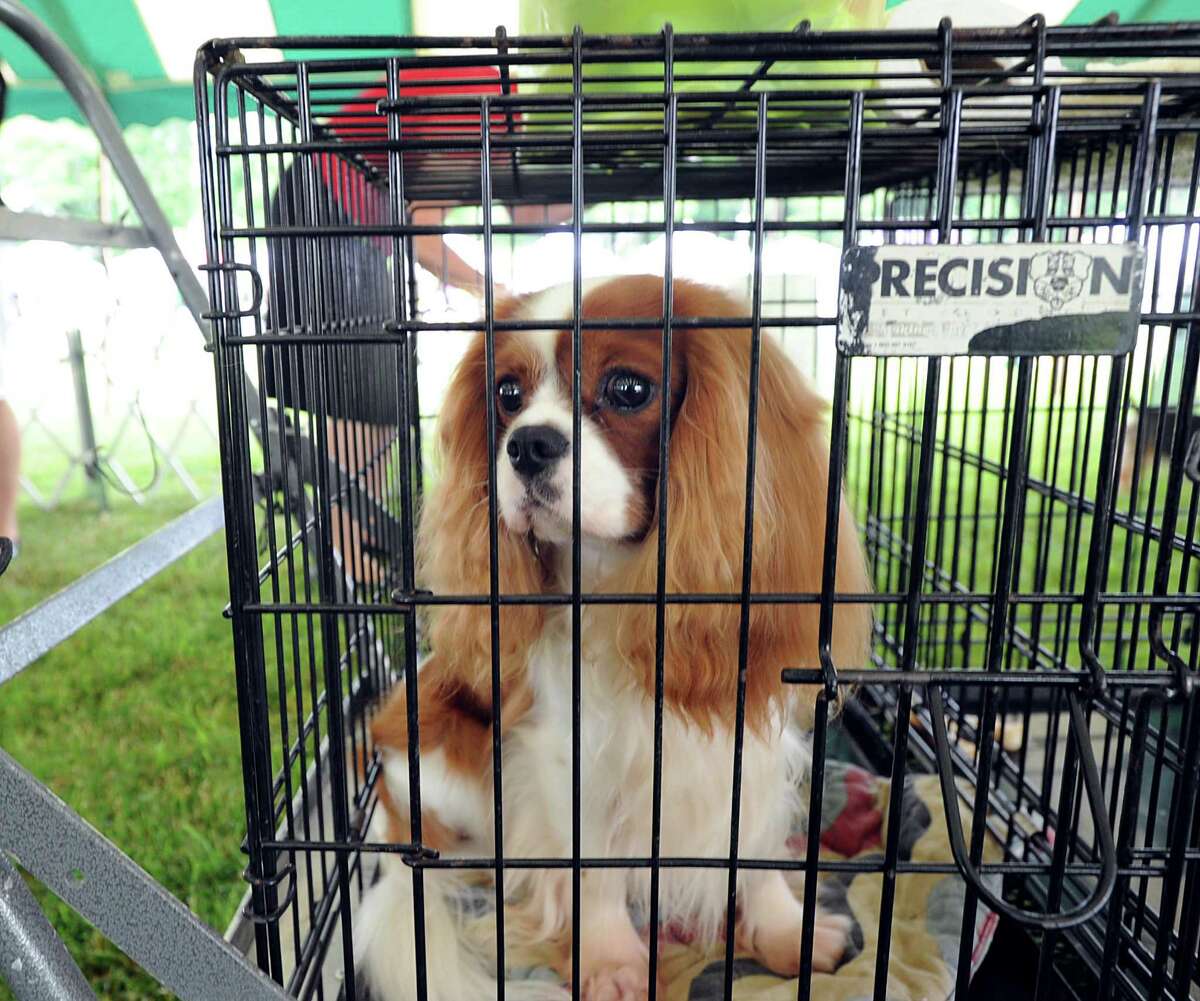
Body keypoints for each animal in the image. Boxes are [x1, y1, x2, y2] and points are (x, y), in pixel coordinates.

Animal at [352, 273, 873, 998]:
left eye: (628, 388)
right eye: (507, 394)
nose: (528, 443)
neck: (619, 584)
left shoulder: (750, 741)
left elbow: (755, 839)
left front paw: (779, 927)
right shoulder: (564, 753)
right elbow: (589, 865)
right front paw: (609, 960)